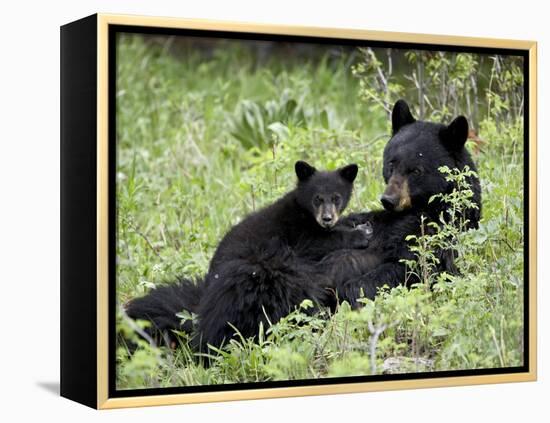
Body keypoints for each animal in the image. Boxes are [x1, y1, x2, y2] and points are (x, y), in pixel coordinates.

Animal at [127, 161, 374, 350]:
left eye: (336, 197)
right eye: (317, 198)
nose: (327, 218)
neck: (305, 214)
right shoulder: (297, 232)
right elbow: (319, 242)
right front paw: (361, 233)